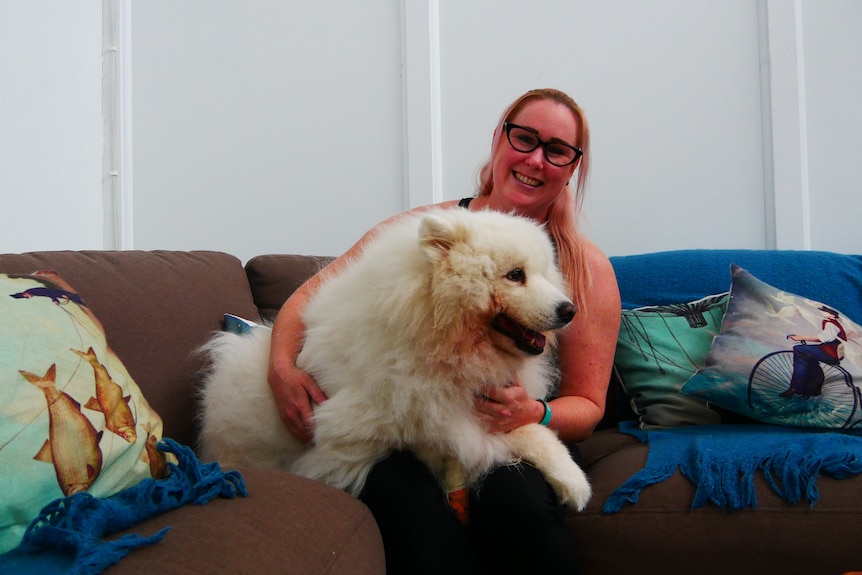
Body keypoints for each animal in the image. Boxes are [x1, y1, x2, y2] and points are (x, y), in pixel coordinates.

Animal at [201, 206, 592, 508]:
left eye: (544, 274)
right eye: (515, 275)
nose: (569, 310)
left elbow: (533, 431)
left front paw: (573, 482)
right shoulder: (377, 420)